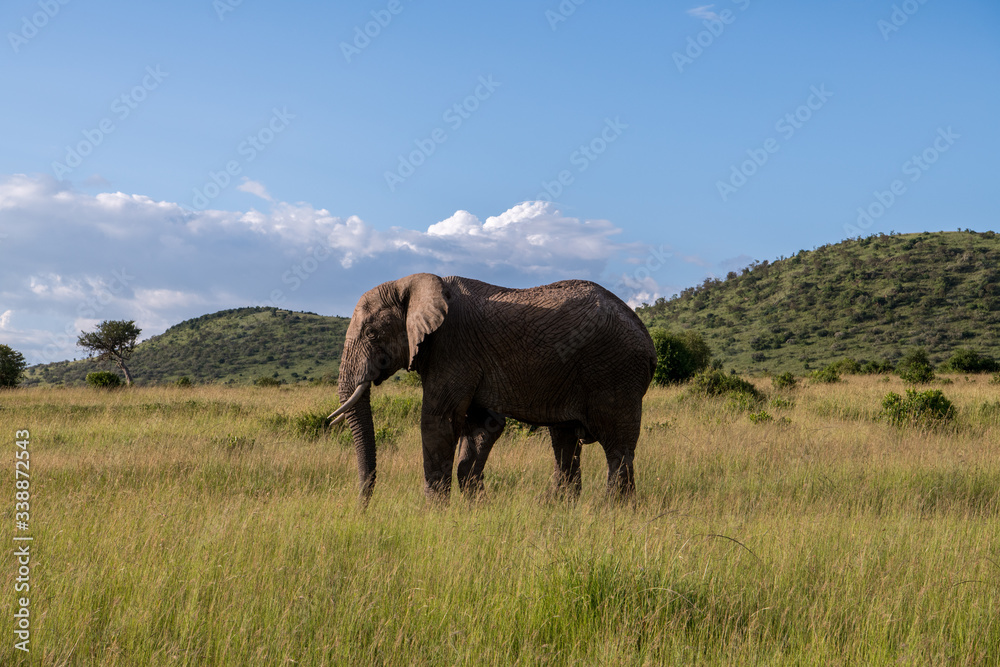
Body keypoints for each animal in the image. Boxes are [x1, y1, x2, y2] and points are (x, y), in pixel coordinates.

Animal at [329, 273, 657, 504]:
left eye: (372, 333)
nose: (362, 508)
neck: (411, 283)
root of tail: (647, 339)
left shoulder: (453, 348)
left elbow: (438, 421)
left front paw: (433, 512)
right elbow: (482, 426)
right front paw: (475, 506)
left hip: (615, 371)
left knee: (617, 447)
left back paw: (613, 510)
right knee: (565, 441)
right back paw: (558, 507)